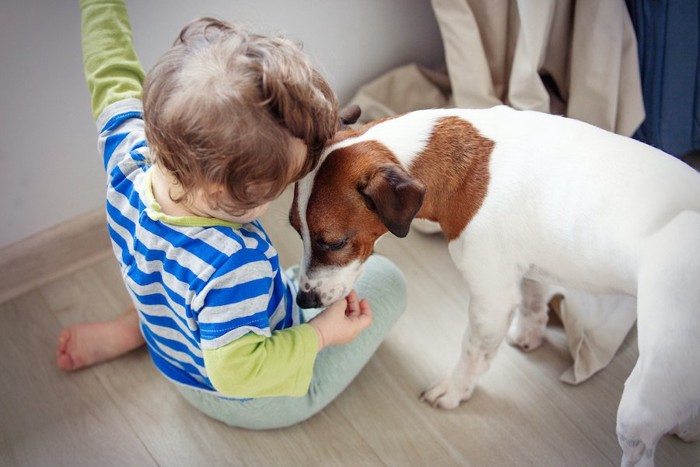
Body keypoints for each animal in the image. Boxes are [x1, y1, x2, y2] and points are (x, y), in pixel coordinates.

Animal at [288, 107, 696, 467]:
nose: (304, 298)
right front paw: (530, 333)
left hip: (641, 403)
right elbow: (533, 300)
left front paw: (456, 389)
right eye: (296, 230)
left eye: (334, 242)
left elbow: (473, 352)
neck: (466, 167)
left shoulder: (490, 299)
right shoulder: (530, 265)